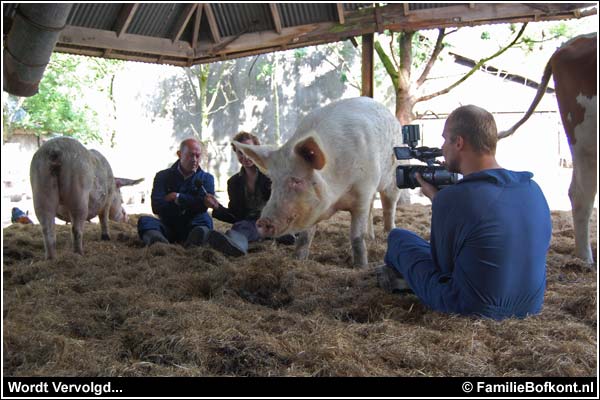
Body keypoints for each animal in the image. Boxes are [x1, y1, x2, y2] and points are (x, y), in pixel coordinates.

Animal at [234, 95, 404, 268]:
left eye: (297, 180)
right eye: (272, 182)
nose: (262, 221)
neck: (337, 196)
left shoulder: (364, 190)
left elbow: (356, 237)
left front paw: (361, 267)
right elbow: (304, 237)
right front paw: (298, 260)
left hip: (394, 175)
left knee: (389, 206)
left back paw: (388, 233)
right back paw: (371, 237)